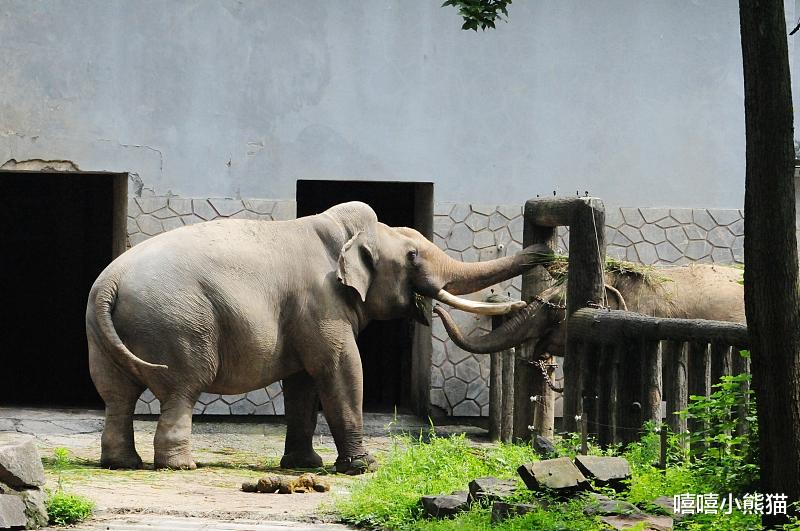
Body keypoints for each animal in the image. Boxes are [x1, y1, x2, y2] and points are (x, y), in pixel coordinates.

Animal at [87, 203, 552, 474]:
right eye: (413, 256)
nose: (546, 253)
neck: (341, 234)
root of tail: (110, 282)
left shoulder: (302, 318)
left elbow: (302, 383)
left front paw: (302, 465)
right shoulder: (321, 302)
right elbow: (341, 368)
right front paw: (365, 468)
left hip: (102, 334)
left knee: (117, 396)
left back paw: (122, 463)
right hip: (178, 326)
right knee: (182, 389)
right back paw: (181, 467)